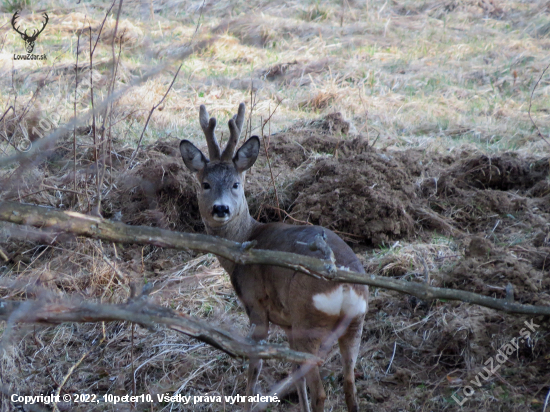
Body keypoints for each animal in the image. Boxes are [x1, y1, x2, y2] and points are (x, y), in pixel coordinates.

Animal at [182, 104, 370, 412]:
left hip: (309, 320)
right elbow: (296, 376)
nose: (221, 209)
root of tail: (343, 285)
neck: (247, 237)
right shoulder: (288, 324)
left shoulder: (257, 306)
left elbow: (255, 367)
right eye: (205, 184)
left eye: (236, 184)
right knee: (349, 385)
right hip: (354, 324)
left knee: (321, 392)